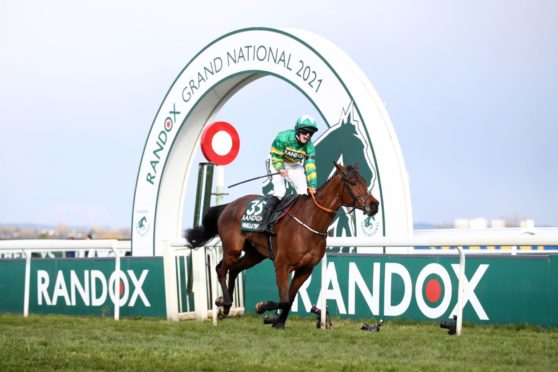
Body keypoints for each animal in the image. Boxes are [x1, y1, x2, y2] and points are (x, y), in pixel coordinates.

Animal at [185, 163, 380, 328]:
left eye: (365, 181)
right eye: (353, 182)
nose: (374, 205)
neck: (310, 223)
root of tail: (228, 205)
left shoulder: (305, 270)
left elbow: (290, 299)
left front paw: (278, 322)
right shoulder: (282, 264)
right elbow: (284, 298)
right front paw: (263, 308)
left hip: (254, 254)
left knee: (233, 270)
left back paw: (225, 308)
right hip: (233, 248)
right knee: (221, 269)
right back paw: (224, 303)